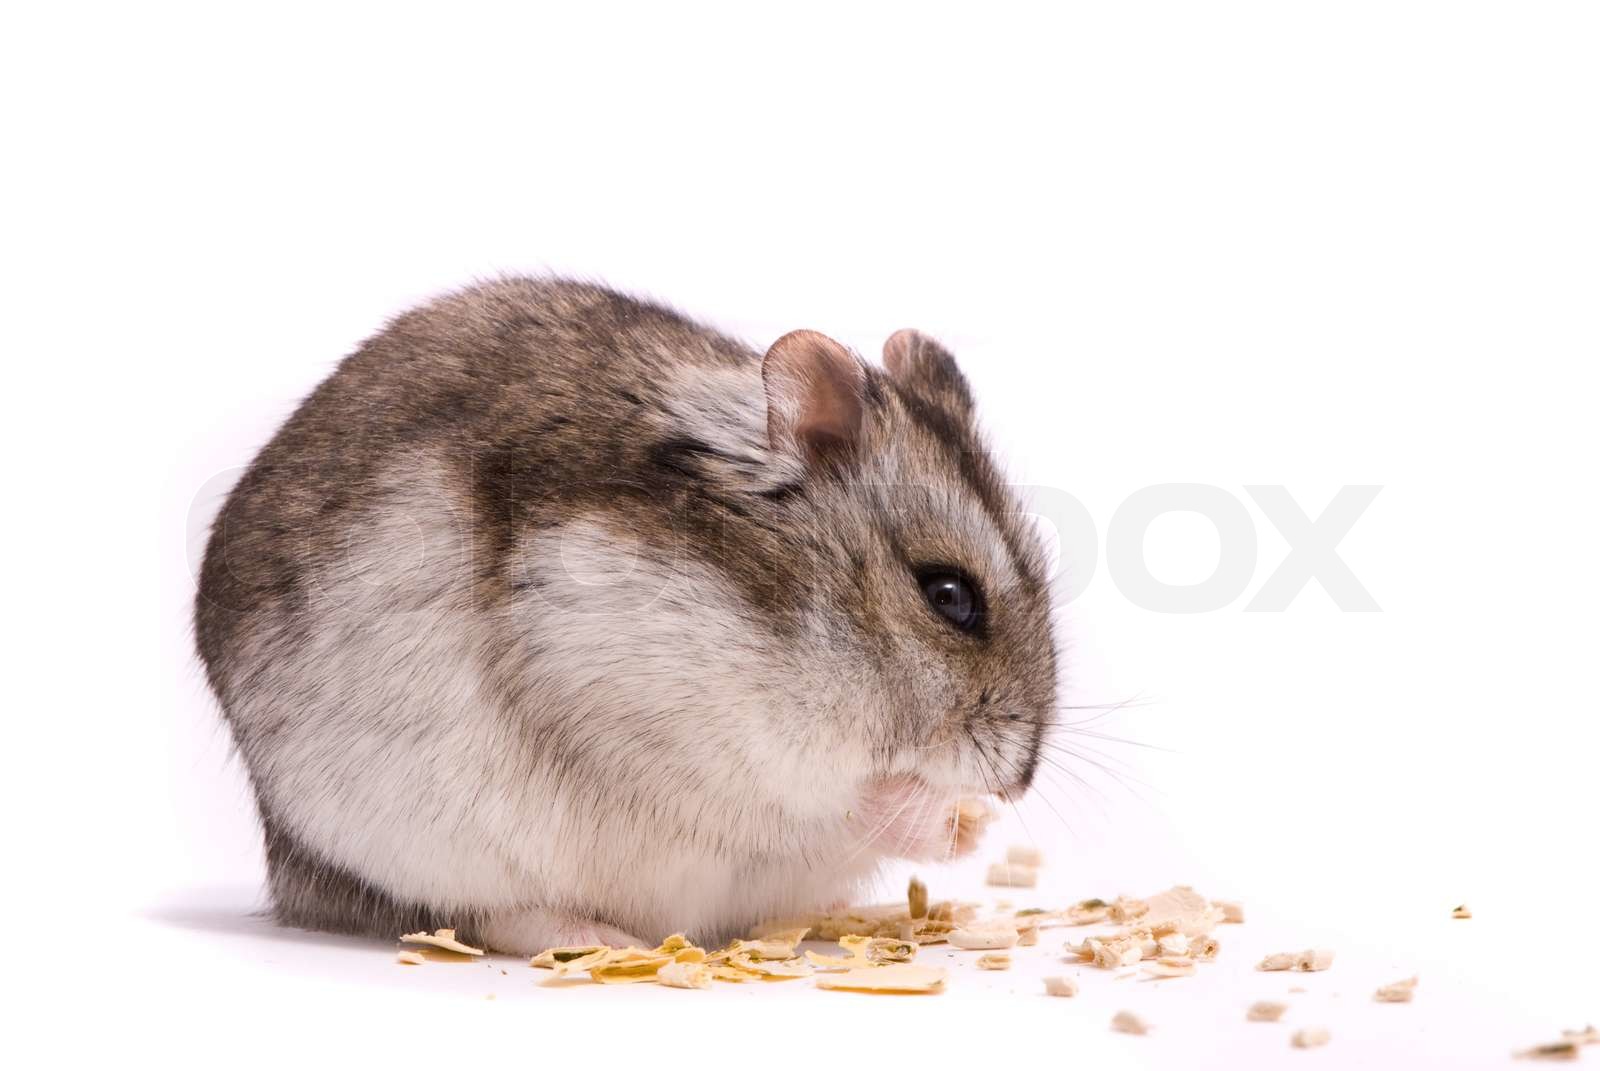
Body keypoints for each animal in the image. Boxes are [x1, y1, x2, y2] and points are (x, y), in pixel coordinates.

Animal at [194, 277, 1058, 954]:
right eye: (949, 595)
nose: (1018, 781)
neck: (786, 623)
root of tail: (291, 872)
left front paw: (972, 827)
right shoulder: (695, 731)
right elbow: (840, 801)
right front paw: (946, 816)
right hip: (411, 843)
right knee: (482, 913)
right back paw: (602, 939)